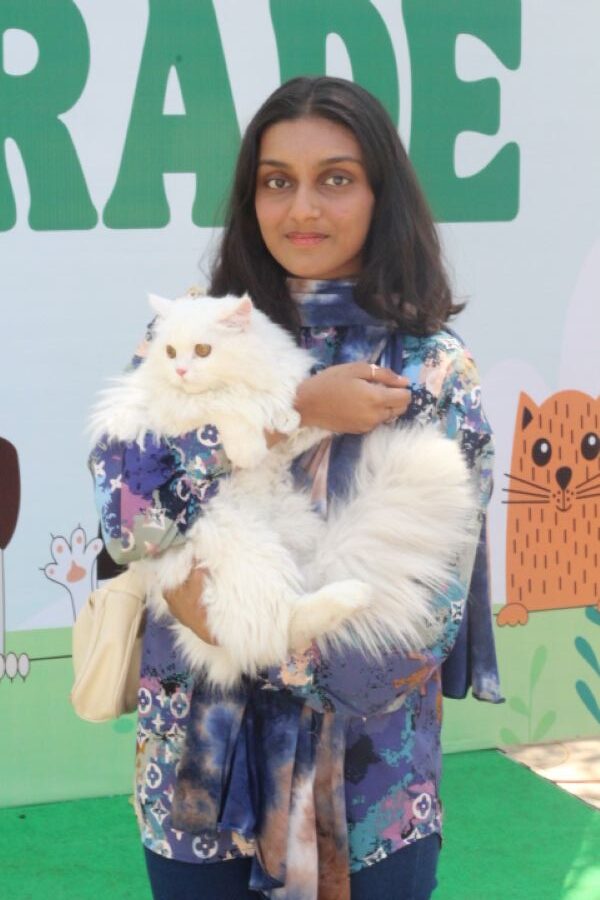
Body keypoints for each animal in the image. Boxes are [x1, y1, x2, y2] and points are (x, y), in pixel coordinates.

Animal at [90, 292, 477, 686]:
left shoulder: (284, 412)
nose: (180, 371)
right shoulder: (175, 413)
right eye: (169, 352)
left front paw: (294, 416)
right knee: (281, 628)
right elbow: (224, 409)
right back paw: (353, 594)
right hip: (248, 555)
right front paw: (248, 446)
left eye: (202, 350)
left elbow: (294, 416)